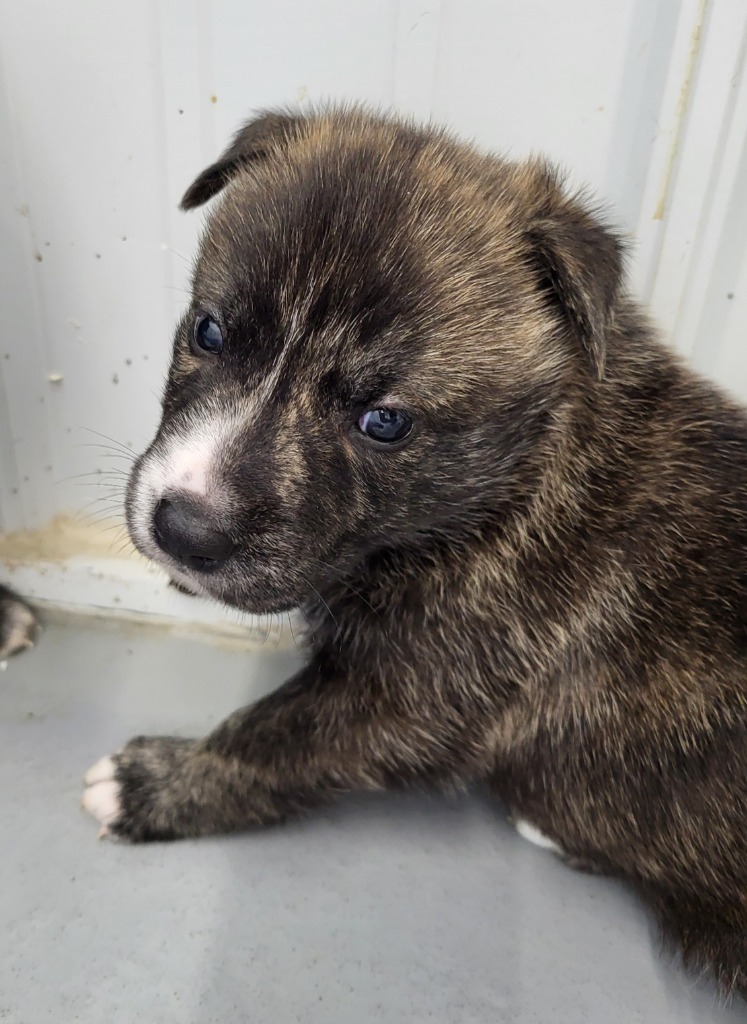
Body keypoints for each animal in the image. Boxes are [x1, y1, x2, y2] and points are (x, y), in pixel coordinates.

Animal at [81, 108, 745, 995]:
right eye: (208, 331)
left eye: (385, 422)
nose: (185, 529)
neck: (515, 481)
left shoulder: (408, 698)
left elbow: (269, 738)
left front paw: (156, 786)